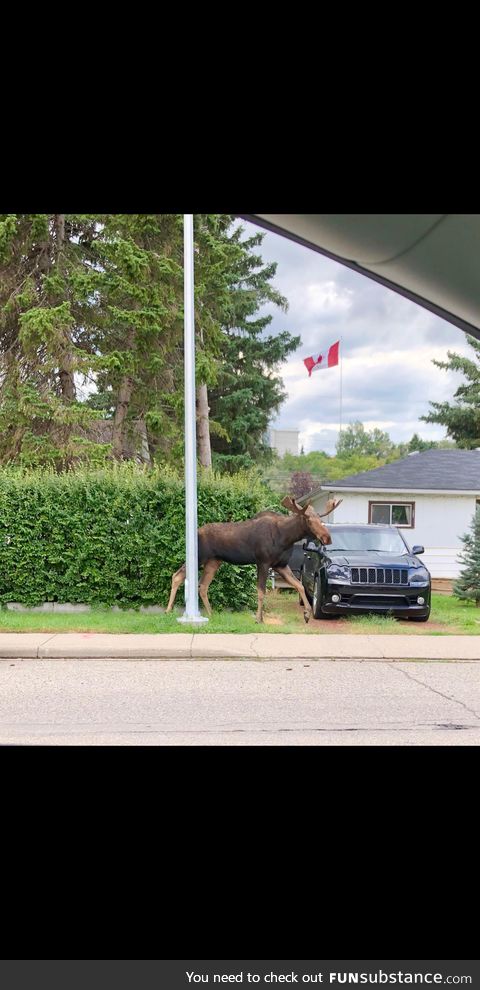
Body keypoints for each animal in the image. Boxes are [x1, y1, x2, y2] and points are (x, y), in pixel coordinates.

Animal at [166, 500, 342, 624]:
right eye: (308, 519)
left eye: (320, 519)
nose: (327, 538)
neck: (286, 538)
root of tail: (195, 531)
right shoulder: (263, 562)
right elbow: (261, 591)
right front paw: (258, 618)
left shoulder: (280, 565)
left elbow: (299, 585)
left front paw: (306, 614)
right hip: (199, 557)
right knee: (177, 575)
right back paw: (168, 611)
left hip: (213, 561)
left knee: (202, 585)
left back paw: (211, 613)